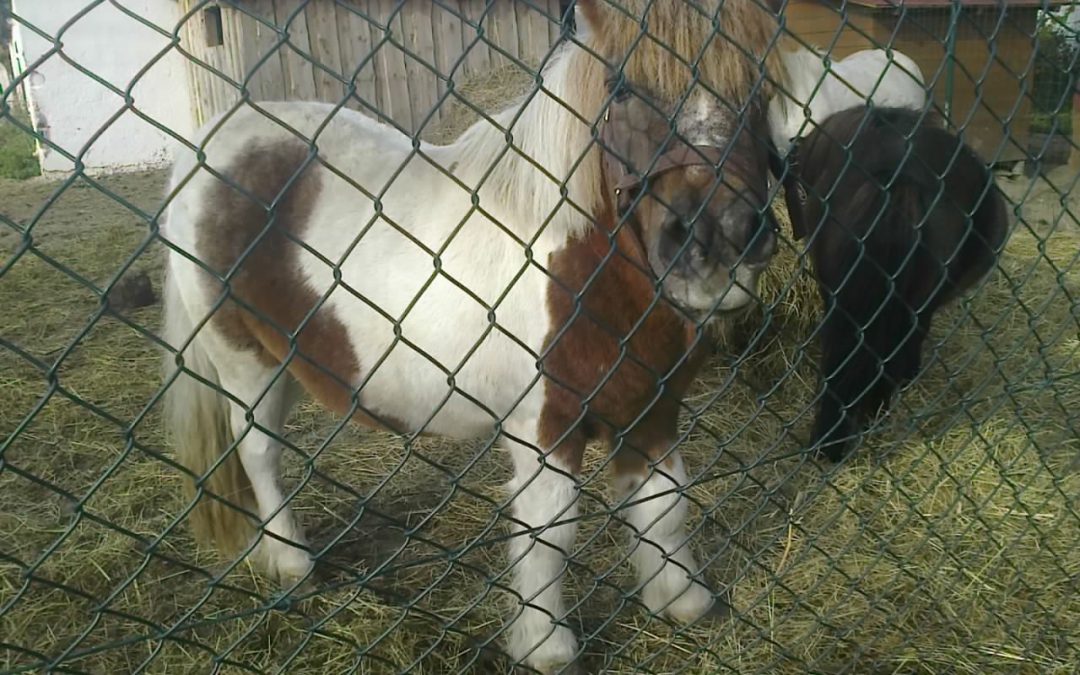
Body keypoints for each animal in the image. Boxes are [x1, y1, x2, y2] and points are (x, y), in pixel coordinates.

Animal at [157, 3, 786, 669]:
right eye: (621, 88)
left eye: (761, 86)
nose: (720, 237)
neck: (578, 262)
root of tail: (211, 143)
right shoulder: (543, 429)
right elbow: (550, 530)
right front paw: (546, 646)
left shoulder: (653, 410)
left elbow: (664, 504)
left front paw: (681, 600)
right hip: (245, 362)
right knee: (258, 451)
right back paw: (290, 561)